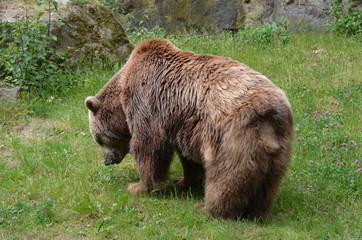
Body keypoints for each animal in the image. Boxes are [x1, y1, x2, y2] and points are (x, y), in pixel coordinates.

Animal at [85, 38, 294, 220]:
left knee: (225, 175)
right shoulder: (183, 124)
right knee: (268, 183)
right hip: (279, 143)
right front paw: (182, 181)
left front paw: (138, 186)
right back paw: (257, 211)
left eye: (99, 138)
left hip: (230, 136)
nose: (107, 161)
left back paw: (208, 208)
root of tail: (267, 111)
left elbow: (149, 146)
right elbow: (189, 159)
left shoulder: (147, 101)